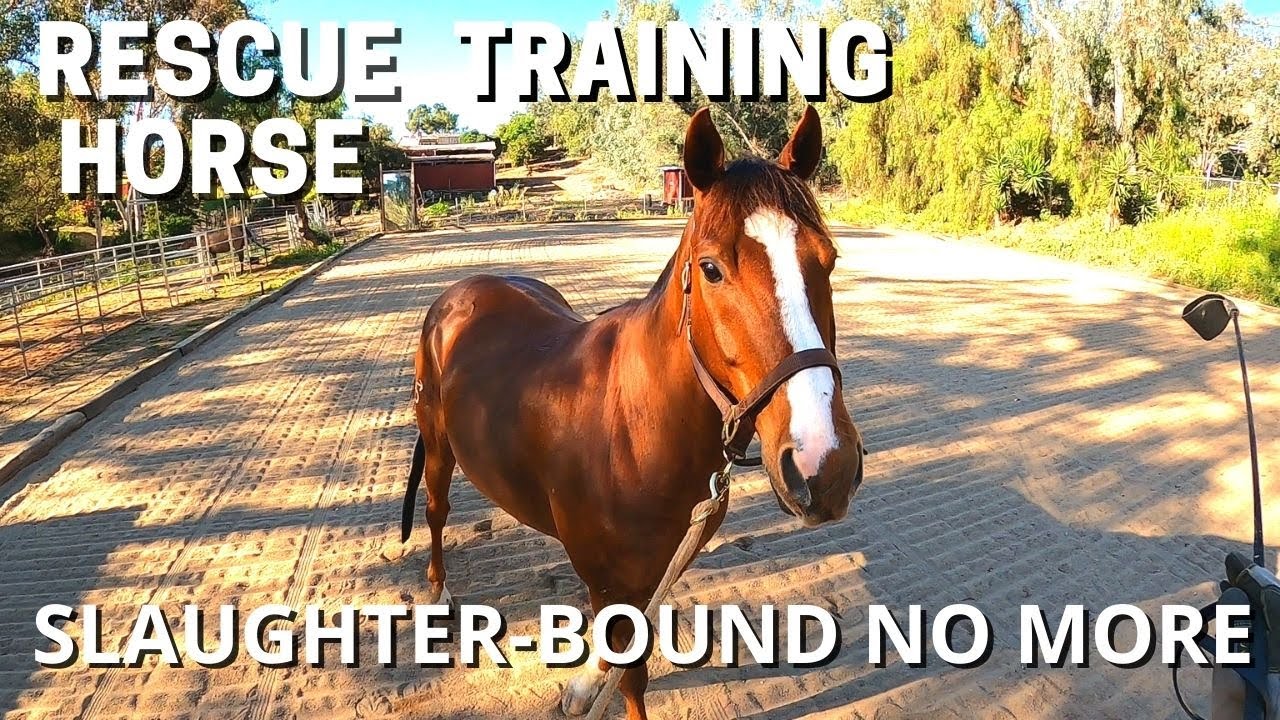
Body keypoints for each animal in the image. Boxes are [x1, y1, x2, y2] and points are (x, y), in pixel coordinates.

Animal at [401, 106, 865, 720]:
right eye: (711, 269)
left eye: (829, 260)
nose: (825, 465)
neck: (636, 428)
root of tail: (460, 293)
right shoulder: (606, 573)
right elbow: (632, 676)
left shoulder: (659, 565)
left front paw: (583, 683)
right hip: (437, 447)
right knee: (436, 512)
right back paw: (439, 593)